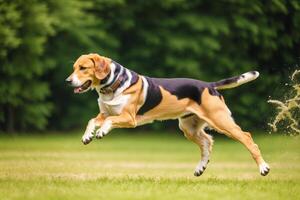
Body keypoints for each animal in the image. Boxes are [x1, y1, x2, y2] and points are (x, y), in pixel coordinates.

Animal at [67, 53, 270, 177]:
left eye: (83, 68)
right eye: (74, 67)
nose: (68, 81)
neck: (114, 84)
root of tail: (209, 85)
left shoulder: (129, 118)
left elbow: (108, 121)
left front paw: (101, 132)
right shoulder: (104, 112)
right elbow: (92, 121)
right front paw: (87, 136)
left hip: (221, 121)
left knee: (247, 137)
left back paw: (264, 168)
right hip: (189, 128)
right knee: (207, 142)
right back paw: (200, 168)